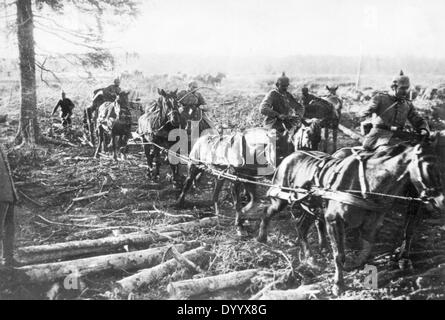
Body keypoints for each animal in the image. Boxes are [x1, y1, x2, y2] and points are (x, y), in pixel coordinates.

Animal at [175, 120, 320, 238]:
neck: (248, 151)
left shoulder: (247, 179)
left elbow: (253, 200)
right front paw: (239, 225)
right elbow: (237, 203)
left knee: (215, 192)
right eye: (277, 148)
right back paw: (179, 202)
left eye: (290, 147)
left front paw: (244, 213)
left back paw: (216, 211)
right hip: (193, 166)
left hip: (219, 175)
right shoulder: (235, 180)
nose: (283, 171)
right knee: (187, 183)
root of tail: (201, 138)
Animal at [256, 141, 444, 296]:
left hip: (309, 204)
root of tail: (290, 156)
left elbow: (366, 251)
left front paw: (357, 266)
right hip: (281, 198)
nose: (441, 202)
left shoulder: (371, 225)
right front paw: (338, 285)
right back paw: (262, 238)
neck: (365, 184)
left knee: (301, 227)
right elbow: (339, 255)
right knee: (267, 212)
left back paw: (309, 257)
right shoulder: (334, 220)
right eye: (428, 166)